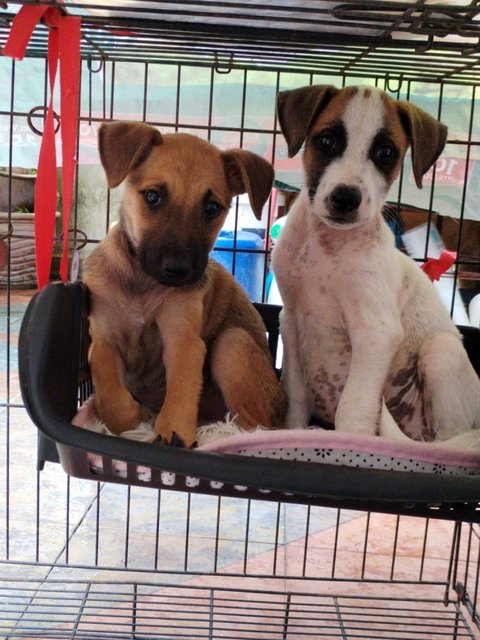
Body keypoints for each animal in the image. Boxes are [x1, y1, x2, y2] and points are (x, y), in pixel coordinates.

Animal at [83, 122, 284, 448]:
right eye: (153, 197)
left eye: (212, 208)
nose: (178, 270)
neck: (144, 283)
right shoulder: (103, 340)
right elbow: (111, 396)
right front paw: (135, 419)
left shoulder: (183, 339)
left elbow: (181, 390)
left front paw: (173, 433)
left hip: (233, 344)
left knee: (252, 426)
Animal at [272, 82, 480, 448]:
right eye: (327, 141)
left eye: (385, 152)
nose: (345, 198)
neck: (329, 249)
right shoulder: (291, 320)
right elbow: (295, 400)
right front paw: (289, 434)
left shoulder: (375, 331)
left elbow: (353, 412)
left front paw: (350, 446)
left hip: (441, 352)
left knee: (447, 439)